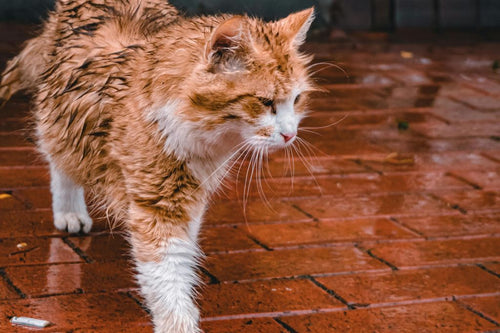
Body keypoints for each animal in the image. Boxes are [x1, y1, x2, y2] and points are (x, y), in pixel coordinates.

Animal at [0, 1, 316, 330]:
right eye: (265, 102)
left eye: (297, 99)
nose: (290, 134)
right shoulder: (158, 202)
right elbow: (165, 268)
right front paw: (178, 321)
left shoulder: (191, 194)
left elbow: (182, 257)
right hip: (58, 119)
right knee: (59, 158)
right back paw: (69, 211)